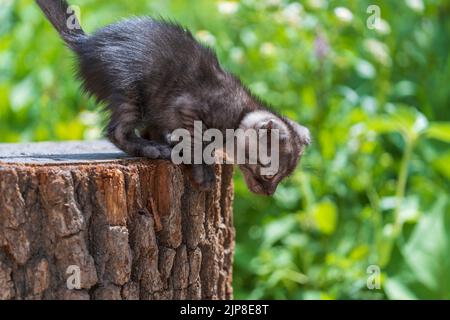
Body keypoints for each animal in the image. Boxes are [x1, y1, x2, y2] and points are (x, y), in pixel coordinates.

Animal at [35, 0, 312, 196]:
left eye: (281, 178)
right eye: (269, 176)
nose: (269, 193)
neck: (241, 111)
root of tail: (86, 43)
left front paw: (173, 144)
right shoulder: (189, 108)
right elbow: (198, 143)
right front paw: (202, 171)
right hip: (129, 89)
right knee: (117, 131)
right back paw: (151, 149)